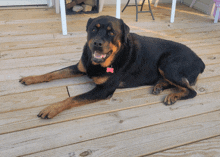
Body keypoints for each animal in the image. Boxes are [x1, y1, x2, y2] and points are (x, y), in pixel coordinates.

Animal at [18, 15, 205, 119]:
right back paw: (160, 86)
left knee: (191, 90)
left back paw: (173, 95)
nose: (97, 43)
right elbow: (52, 73)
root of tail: (200, 60)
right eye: (93, 29)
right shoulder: (80, 67)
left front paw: (51, 108)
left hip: (167, 64)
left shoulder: (103, 90)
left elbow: (72, 98)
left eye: (111, 33)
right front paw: (31, 78)